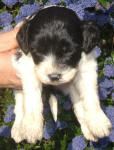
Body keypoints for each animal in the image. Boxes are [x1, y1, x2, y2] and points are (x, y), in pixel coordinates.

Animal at [11, 5, 111, 144]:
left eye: (68, 51)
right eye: (38, 51)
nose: (54, 77)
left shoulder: (87, 67)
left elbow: (90, 95)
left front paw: (98, 122)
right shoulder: (26, 65)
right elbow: (31, 96)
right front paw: (32, 126)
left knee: (78, 105)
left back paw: (89, 130)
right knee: (20, 102)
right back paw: (18, 128)